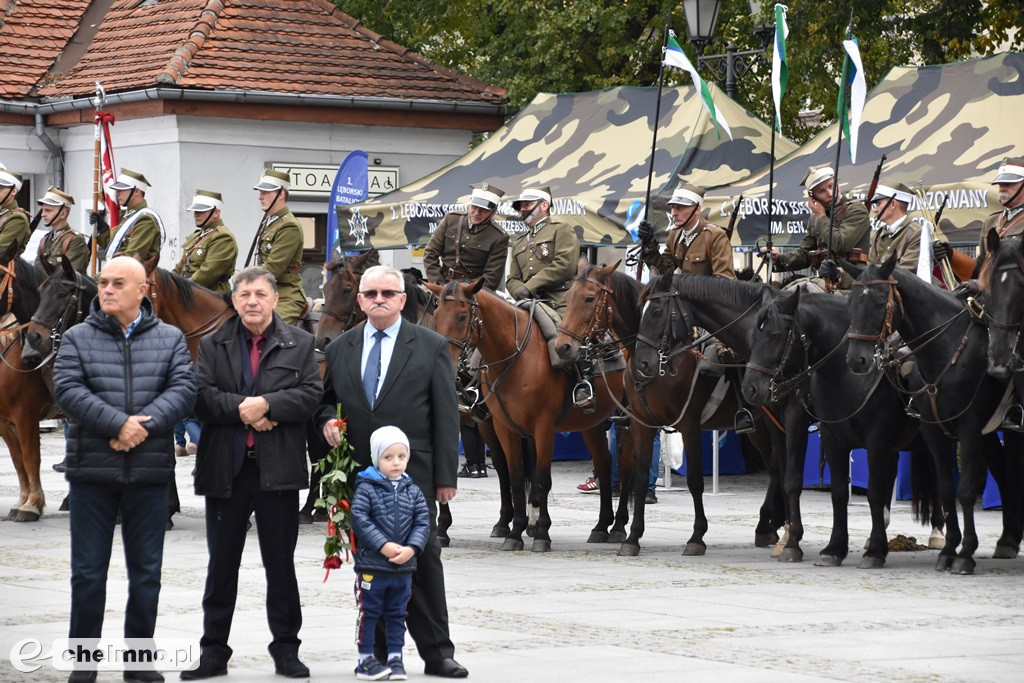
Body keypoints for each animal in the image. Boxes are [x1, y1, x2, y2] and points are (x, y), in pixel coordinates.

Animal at [425, 280, 622, 552]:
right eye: (436, 315)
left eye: (463, 316)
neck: (516, 358)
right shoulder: (504, 426)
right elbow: (517, 477)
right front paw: (515, 532)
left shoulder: (543, 427)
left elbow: (542, 478)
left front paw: (542, 534)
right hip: (586, 425)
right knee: (601, 462)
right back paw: (598, 526)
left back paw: (612, 526)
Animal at [557, 262, 778, 557]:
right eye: (568, 296)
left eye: (589, 298)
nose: (562, 347)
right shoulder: (640, 424)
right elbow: (637, 477)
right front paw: (631, 536)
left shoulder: (689, 426)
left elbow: (694, 480)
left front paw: (696, 537)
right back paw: (769, 526)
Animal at [843, 255, 1019, 577]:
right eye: (850, 301)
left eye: (879, 301)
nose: (856, 359)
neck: (948, 348)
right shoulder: (934, 431)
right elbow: (947, 488)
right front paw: (949, 549)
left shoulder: (969, 429)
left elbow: (966, 490)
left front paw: (966, 553)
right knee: (1003, 474)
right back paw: (1008, 541)